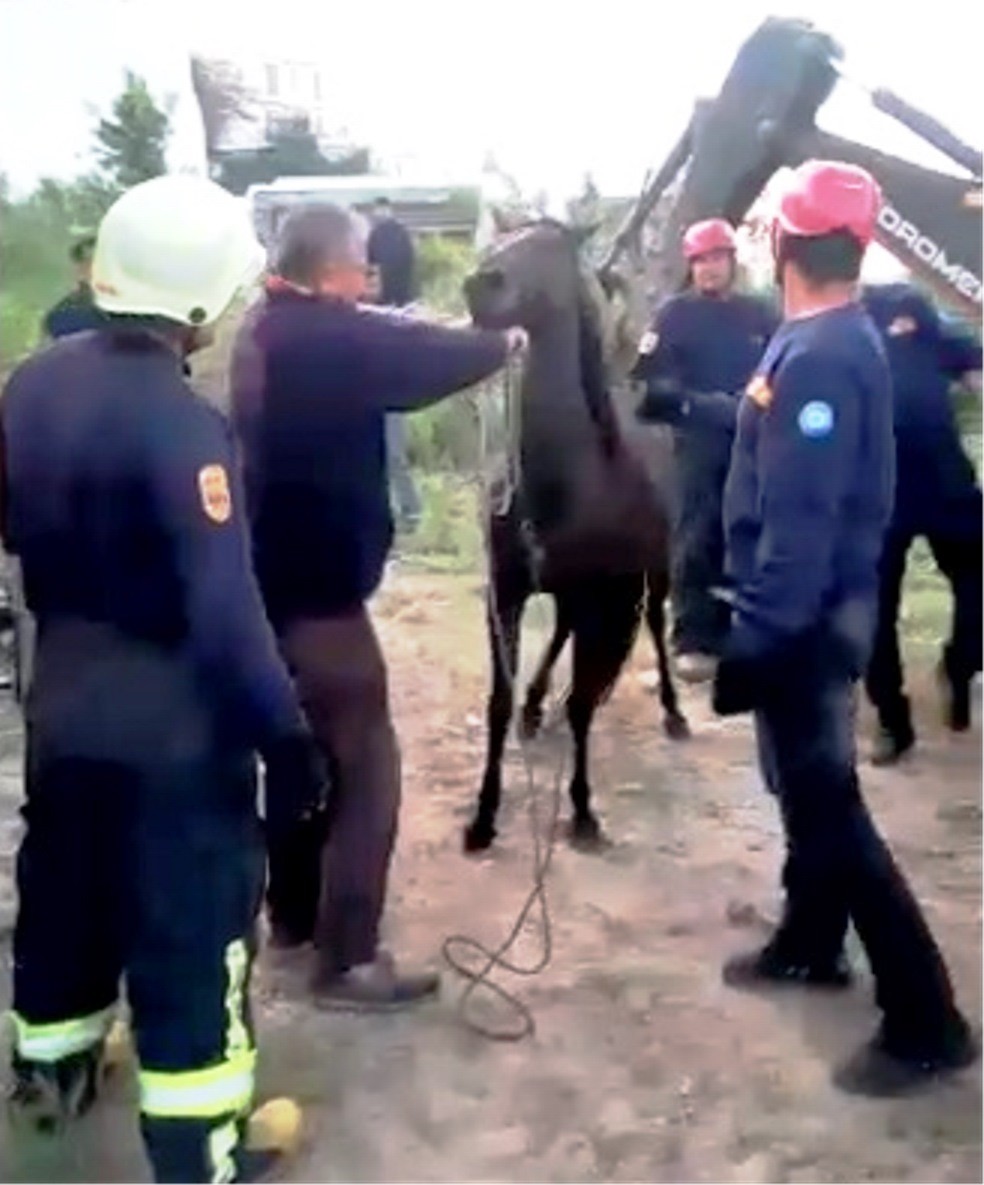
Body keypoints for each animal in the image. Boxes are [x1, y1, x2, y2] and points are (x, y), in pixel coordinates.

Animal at [459, 220, 687, 853]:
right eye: (504, 238)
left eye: (551, 250)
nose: (481, 284)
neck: (564, 483)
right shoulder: (506, 592)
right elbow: (499, 702)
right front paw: (483, 817)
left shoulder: (608, 598)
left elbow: (585, 703)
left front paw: (583, 812)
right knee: (561, 630)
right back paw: (538, 706)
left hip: (653, 574)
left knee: (654, 625)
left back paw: (674, 712)